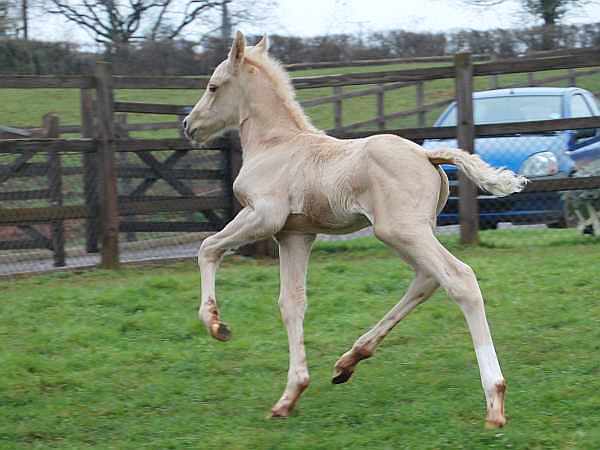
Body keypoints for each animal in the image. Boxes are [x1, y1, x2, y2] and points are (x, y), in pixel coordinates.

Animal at [183, 32, 524, 428]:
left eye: (213, 86)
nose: (189, 125)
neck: (275, 145)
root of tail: (428, 155)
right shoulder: (294, 234)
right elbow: (291, 303)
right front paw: (290, 396)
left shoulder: (264, 216)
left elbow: (208, 247)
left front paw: (216, 325)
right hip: (408, 232)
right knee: (426, 280)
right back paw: (349, 361)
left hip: (402, 231)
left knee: (459, 279)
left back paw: (495, 400)